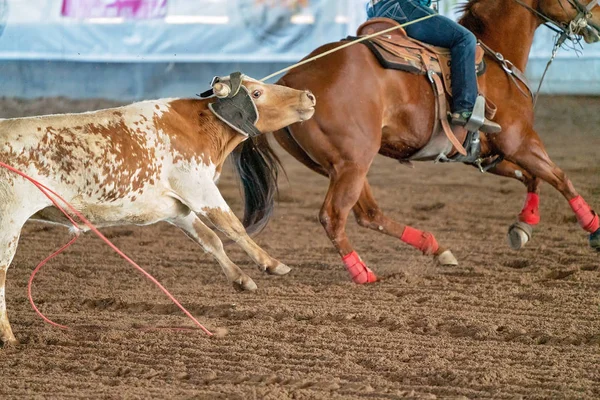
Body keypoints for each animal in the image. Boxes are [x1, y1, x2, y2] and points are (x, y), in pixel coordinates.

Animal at [0, 76, 316, 346]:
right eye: (257, 93)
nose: (309, 96)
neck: (200, 127)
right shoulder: (198, 188)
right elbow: (231, 226)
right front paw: (272, 264)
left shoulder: (177, 208)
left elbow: (209, 239)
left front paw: (241, 278)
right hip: (9, 223)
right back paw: (9, 336)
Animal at [237, 0, 596, 282]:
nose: (596, 19)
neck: (497, 62)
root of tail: (287, 81)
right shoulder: (520, 142)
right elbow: (560, 178)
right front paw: (594, 229)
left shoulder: (489, 156)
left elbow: (533, 177)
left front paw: (524, 226)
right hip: (353, 162)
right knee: (335, 216)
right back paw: (362, 272)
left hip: (340, 165)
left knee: (369, 214)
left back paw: (435, 247)